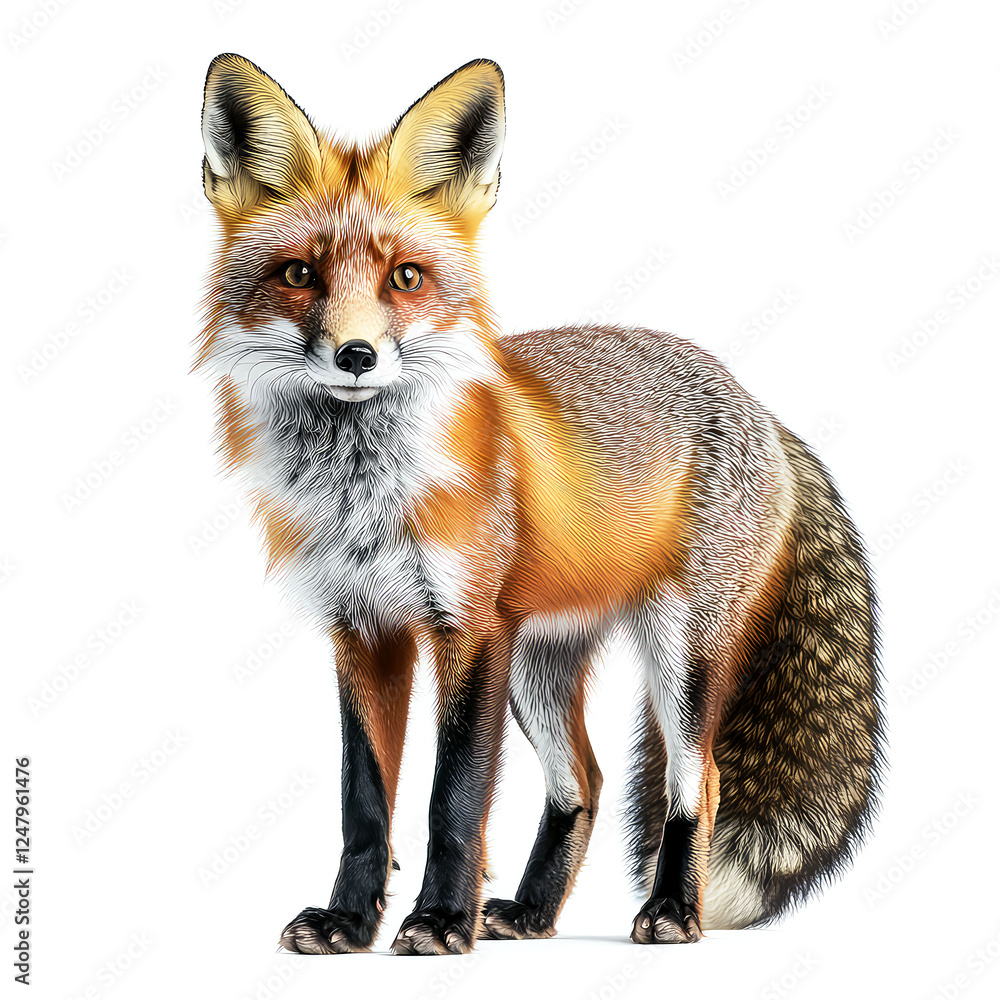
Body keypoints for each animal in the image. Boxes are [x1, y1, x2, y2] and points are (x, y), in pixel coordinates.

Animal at [197, 53, 883, 955]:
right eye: (299, 274)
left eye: (405, 278)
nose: (356, 354)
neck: (363, 491)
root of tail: (757, 405)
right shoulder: (364, 630)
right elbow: (365, 802)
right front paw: (350, 921)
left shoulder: (467, 627)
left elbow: (452, 800)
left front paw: (437, 922)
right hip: (537, 665)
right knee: (583, 779)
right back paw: (529, 913)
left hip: (677, 653)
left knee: (697, 777)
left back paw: (673, 911)